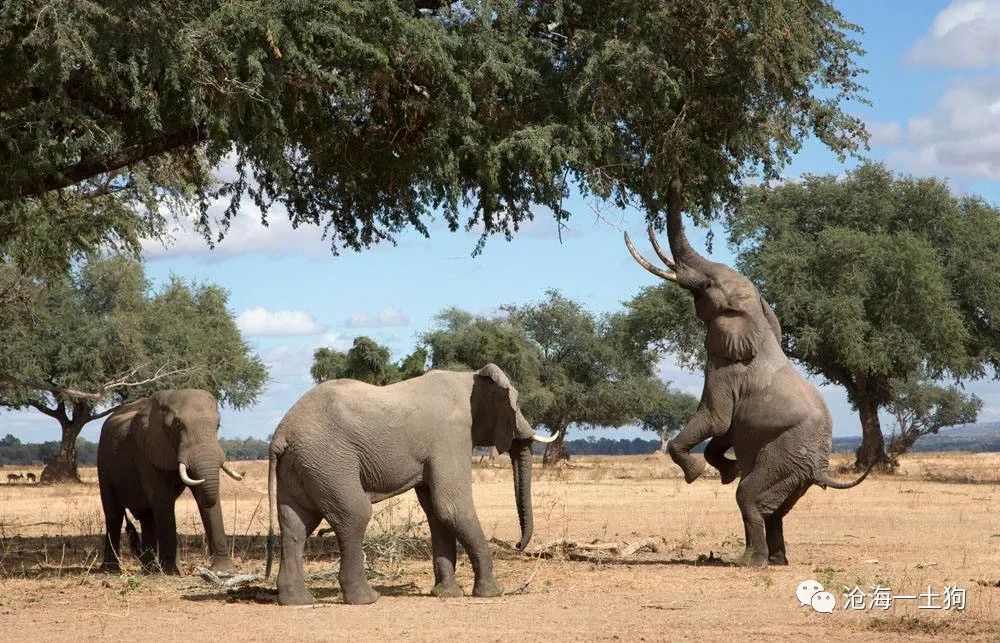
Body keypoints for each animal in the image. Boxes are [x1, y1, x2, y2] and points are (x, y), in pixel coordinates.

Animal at [96, 390, 245, 576]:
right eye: (178, 425)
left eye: (217, 425)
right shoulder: (147, 451)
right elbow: (162, 498)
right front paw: (172, 572)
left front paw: (222, 570)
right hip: (103, 464)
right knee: (113, 513)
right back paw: (112, 570)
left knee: (147, 517)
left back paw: (150, 570)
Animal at [266, 364, 556, 608]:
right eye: (516, 405)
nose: (518, 545)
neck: (469, 377)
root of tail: (281, 434)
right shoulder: (451, 436)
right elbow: (452, 508)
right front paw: (492, 593)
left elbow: (437, 513)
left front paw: (447, 594)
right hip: (329, 461)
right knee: (354, 514)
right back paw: (367, 599)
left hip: (304, 465)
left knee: (296, 525)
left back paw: (298, 602)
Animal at [620, 176, 872, 568]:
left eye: (707, 286)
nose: (675, 176)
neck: (758, 319)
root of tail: (820, 467)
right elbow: (725, 430)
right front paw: (727, 470)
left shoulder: (725, 369)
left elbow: (716, 418)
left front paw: (699, 473)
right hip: (793, 468)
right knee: (775, 510)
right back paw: (776, 560)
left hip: (786, 455)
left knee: (749, 497)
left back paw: (749, 561)